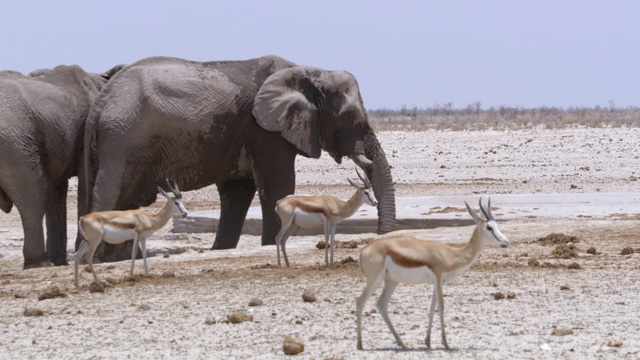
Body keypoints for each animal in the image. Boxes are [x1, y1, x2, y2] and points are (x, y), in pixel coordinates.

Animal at [0, 63, 124, 268]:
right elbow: (86, 182)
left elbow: (57, 193)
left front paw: (62, 261)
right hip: (16, 143)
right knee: (35, 193)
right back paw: (41, 263)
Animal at [83, 53, 396, 258]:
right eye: (351, 117)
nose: (382, 233)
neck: (310, 71)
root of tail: (99, 101)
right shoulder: (265, 131)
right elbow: (276, 185)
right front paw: (273, 242)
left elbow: (237, 192)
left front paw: (220, 248)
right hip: (123, 141)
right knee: (108, 193)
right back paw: (93, 257)